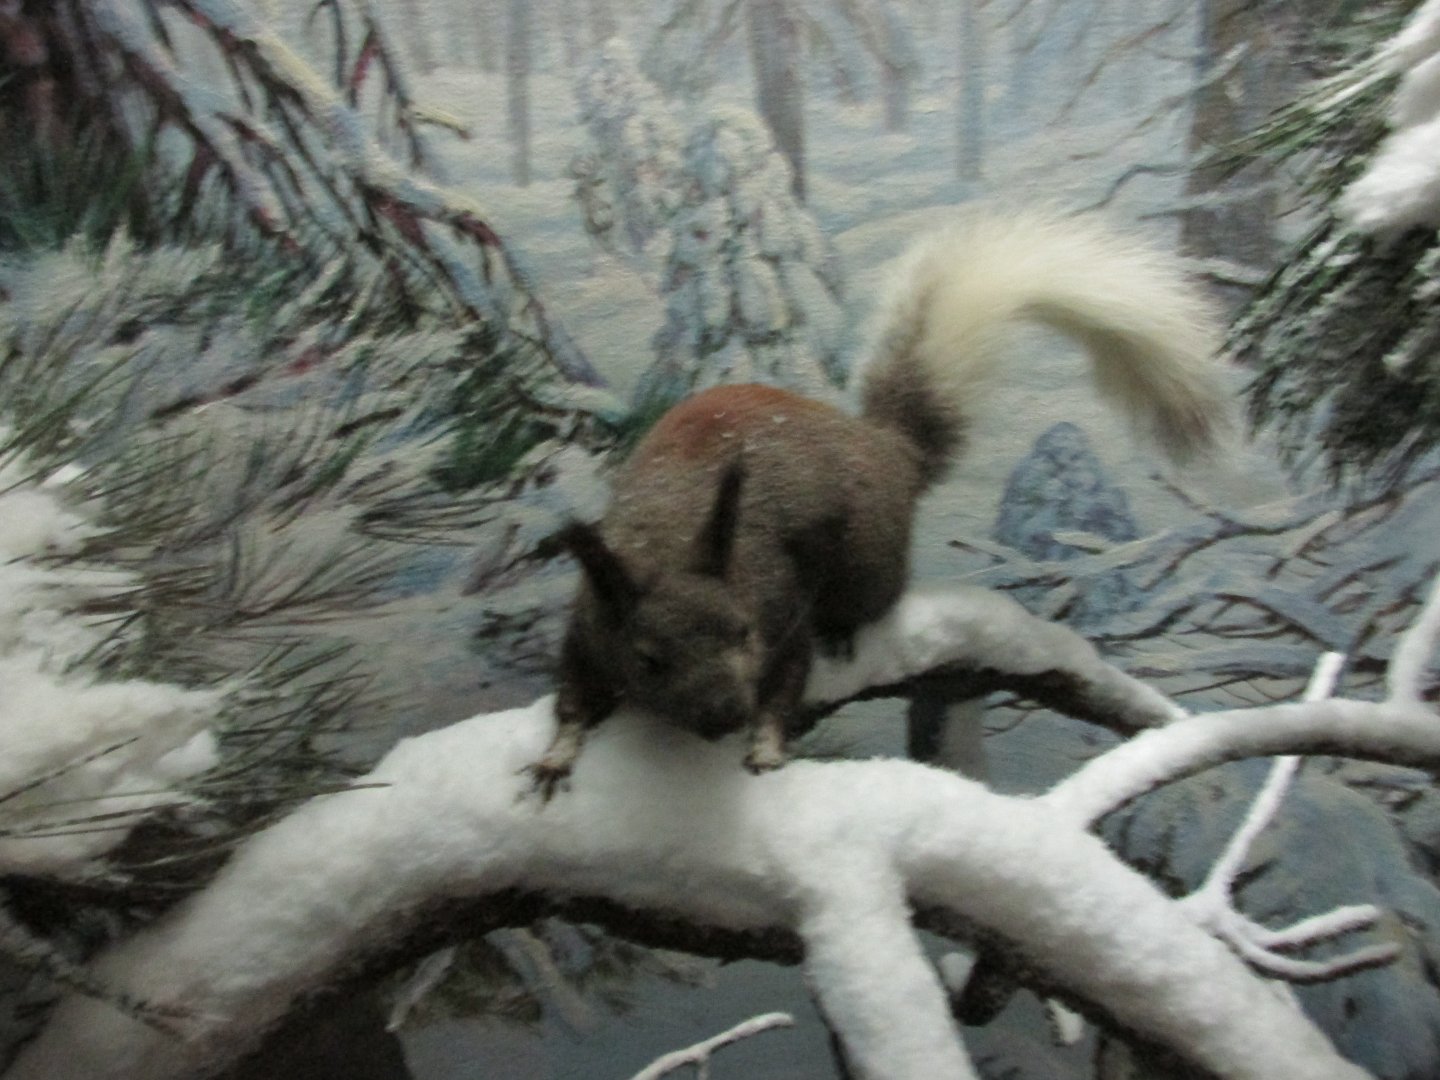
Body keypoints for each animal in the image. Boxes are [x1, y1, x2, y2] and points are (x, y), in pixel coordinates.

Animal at [529, 208, 1230, 797]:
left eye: (743, 631)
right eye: (648, 658)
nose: (727, 712)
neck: (670, 542)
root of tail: (887, 450)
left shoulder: (782, 611)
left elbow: (787, 685)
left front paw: (766, 745)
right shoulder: (589, 631)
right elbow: (572, 700)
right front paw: (557, 756)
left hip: (867, 561)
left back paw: (842, 629)